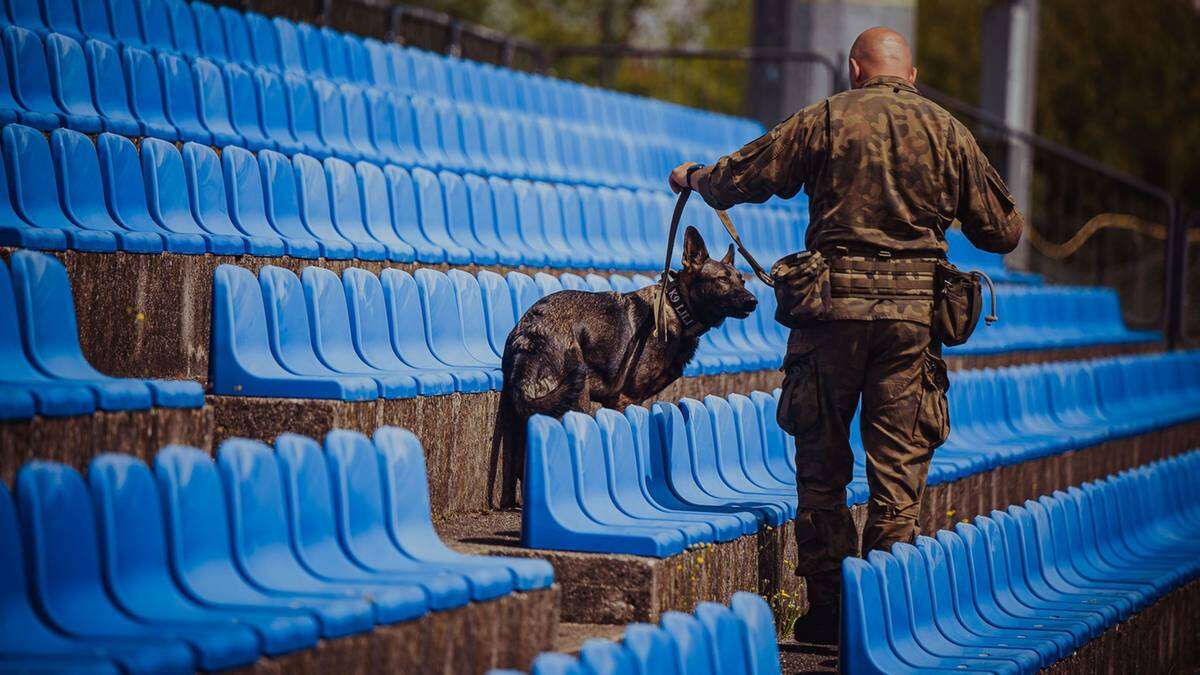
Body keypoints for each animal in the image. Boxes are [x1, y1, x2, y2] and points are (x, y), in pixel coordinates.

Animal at [489, 225, 753, 504]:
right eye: (722, 279)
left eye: (742, 280)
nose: (753, 301)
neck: (677, 309)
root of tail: (529, 332)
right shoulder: (624, 400)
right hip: (577, 400)